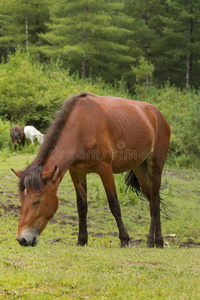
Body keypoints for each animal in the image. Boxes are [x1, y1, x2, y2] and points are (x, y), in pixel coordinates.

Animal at [11, 94, 170, 248]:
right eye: (21, 199)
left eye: (37, 201)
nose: (22, 239)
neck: (82, 128)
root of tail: (159, 116)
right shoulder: (76, 172)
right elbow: (82, 207)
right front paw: (81, 240)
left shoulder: (105, 170)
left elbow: (114, 205)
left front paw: (124, 240)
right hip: (140, 169)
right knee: (154, 199)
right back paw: (158, 241)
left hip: (155, 168)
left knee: (154, 203)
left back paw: (152, 241)